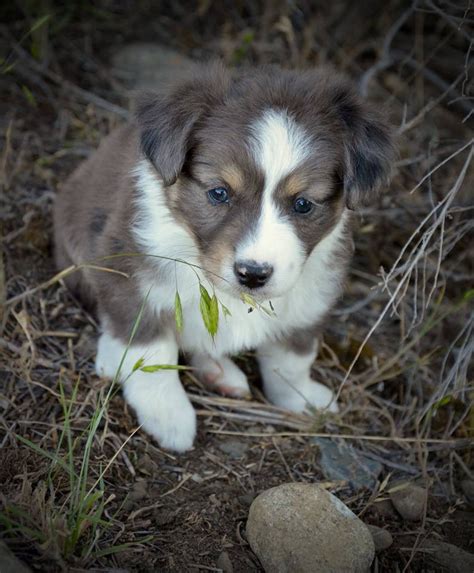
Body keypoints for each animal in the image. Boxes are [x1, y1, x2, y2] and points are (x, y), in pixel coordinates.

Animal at [53, 62, 394, 452]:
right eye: (219, 192)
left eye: (303, 204)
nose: (253, 274)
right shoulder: (129, 273)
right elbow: (151, 352)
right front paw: (168, 415)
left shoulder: (312, 293)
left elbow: (292, 357)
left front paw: (301, 398)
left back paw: (220, 373)